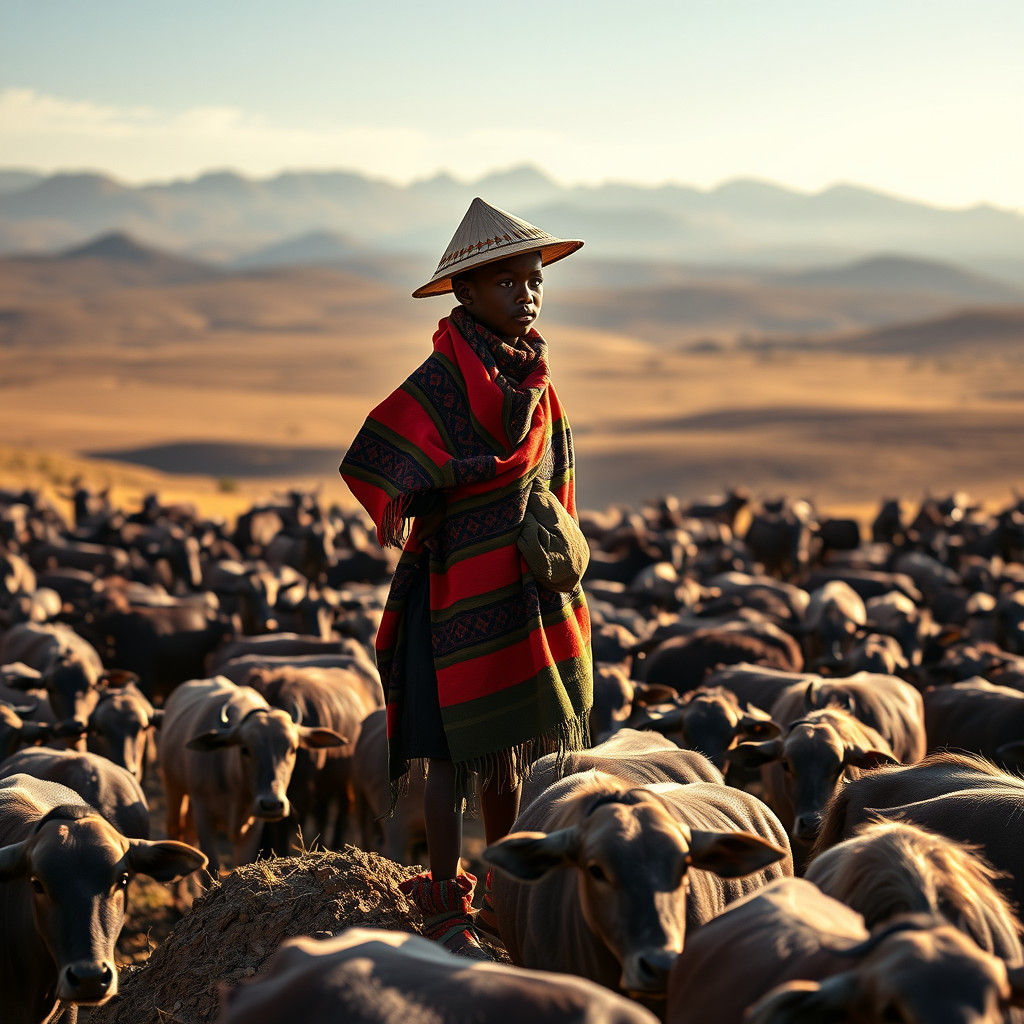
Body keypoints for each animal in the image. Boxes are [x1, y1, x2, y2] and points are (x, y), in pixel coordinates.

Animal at [159, 676, 345, 872]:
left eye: (293, 749)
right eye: (245, 749)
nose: (272, 804)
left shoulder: (253, 826)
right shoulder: (204, 815)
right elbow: (210, 864)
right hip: (173, 789)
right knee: (176, 832)